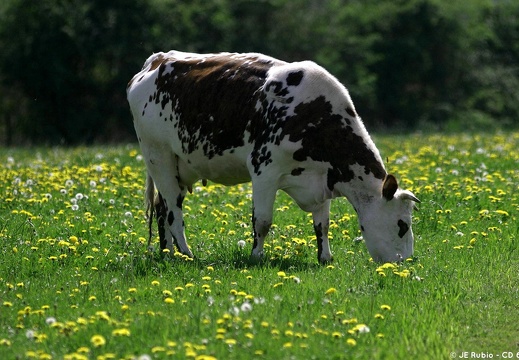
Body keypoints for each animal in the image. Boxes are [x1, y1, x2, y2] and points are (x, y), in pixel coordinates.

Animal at [127, 50, 422, 262]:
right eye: (402, 225)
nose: (406, 262)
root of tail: (157, 60)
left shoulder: (321, 178)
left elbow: (323, 224)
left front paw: (325, 258)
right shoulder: (263, 170)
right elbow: (263, 221)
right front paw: (256, 256)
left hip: (179, 165)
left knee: (161, 207)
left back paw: (167, 254)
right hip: (158, 156)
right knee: (172, 209)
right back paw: (187, 254)